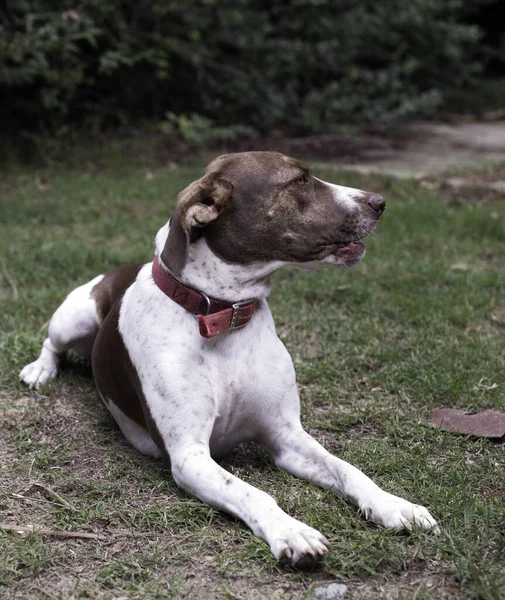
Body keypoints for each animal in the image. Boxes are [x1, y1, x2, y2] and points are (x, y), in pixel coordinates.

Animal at [19, 151, 438, 568]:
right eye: (299, 180)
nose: (380, 202)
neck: (223, 314)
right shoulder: (189, 456)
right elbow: (253, 493)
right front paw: (292, 531)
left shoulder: (286, 435)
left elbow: (348, 469)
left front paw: (393, 504)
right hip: (75, 316)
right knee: (51, 342)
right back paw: (40, 370)